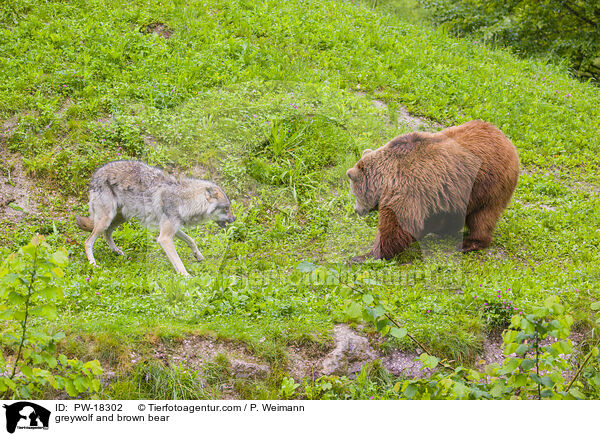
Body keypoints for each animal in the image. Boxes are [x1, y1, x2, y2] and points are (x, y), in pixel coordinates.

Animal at [78, 160, 238, 276]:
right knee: (88, 242)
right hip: (106, 220)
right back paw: (93, 264)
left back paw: (116, 251)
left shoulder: (174, 229)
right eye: (226, 208)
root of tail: (96, 173)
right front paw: (187, 277)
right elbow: (179, 262)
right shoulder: (164, 238)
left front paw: (198, 256)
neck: (184, 200)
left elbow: (191, 240)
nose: (234, 218)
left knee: (107, 233)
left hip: (121, 218)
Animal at [346, 119, 520, 260]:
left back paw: (469, 243)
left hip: (490, 183)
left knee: (483, 216)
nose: (356, 210)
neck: (387, 178)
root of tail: (506, 139)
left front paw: (364, 256)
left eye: (355, 194)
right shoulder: (431, 194)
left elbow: (396, 225)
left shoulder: (407, 188)